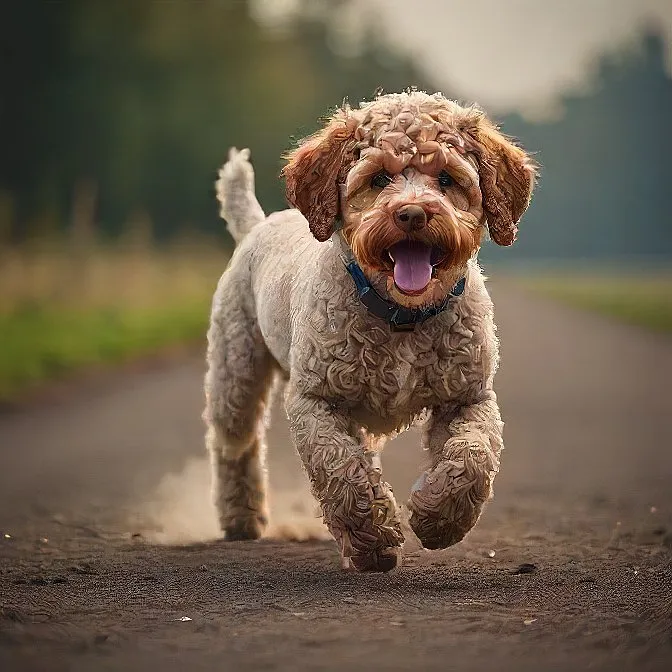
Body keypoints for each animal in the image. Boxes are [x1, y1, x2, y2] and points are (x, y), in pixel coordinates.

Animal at [205, 89, 536, 572]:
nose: (412, 214)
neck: (402, 317)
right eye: (379, 177)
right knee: (234, 446)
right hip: (236, 372)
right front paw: (373, 540)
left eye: (447, 178)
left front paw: (438, 519)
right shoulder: (314, 400)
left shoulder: (468, 396)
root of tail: (258, 224)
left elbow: (472, 459)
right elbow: (342, 470)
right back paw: (241, 519)